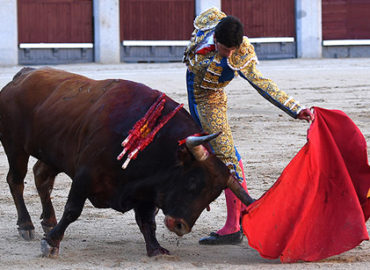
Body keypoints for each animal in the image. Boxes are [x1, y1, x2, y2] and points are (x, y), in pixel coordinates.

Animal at [0, 67, 254, 258]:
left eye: (212, 197)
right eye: (192, 181)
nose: (180, 226)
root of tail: (22, 75)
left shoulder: (148, 192)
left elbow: (147, 221)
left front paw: (155, 249)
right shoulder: (85, 175)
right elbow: (73, 210)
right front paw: (51, 243)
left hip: (53, 154)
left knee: (42, 177)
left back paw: (48, 220)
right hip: (15, 147)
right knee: (16, 181)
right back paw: (27, 226)